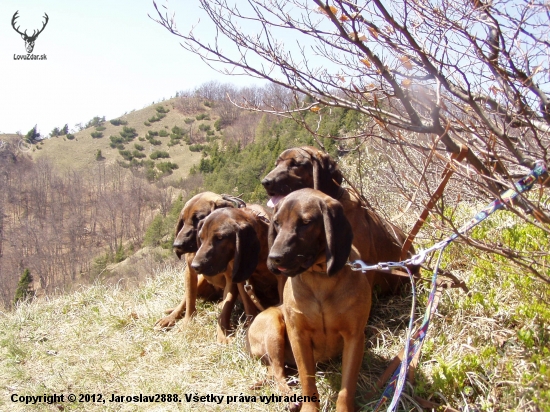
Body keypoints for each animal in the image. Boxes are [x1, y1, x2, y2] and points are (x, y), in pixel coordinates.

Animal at [156, 192, 240, 330]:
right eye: (182, 220)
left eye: (198, 219)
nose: (177, 245)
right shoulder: (190, 272)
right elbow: (190, 300)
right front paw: (188, 322)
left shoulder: (231, 278)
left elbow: (226, 304)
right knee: (185, 300)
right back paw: (171, 316)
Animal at [191, 204, 286, 342]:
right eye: (201, 238)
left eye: (220, 238)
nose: (195, 266)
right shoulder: (240, 280)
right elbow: (249, 307)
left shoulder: (281, 278)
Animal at [252, 188, 374, 410]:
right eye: (277, 222)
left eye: (306, 222)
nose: (274, 258)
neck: (320, 277)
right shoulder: (299, 337)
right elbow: (307, 381)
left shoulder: (354, 337)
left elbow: (347, 387)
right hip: (273, 325)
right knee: (277, 371)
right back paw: (288, 397)